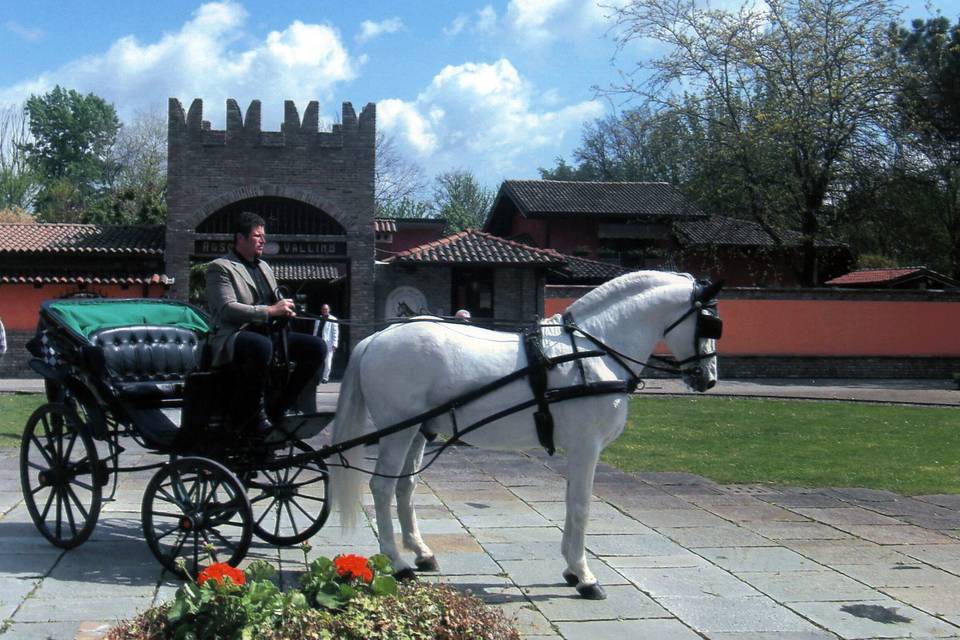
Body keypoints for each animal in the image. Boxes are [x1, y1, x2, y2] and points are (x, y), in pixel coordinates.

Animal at [330, 272, 720, 600]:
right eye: (709, 322)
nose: (708, 379)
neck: (593, 351)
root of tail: (377, 338)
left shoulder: (578, 449)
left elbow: (570, 502)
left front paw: (571, 570)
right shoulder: (587, 445)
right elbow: (582, 505)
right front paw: (585, 577)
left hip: (418, 431)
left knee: (405, 486)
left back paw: (421, 553)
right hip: (399, 430)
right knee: (382, 487)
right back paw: (398, 563)